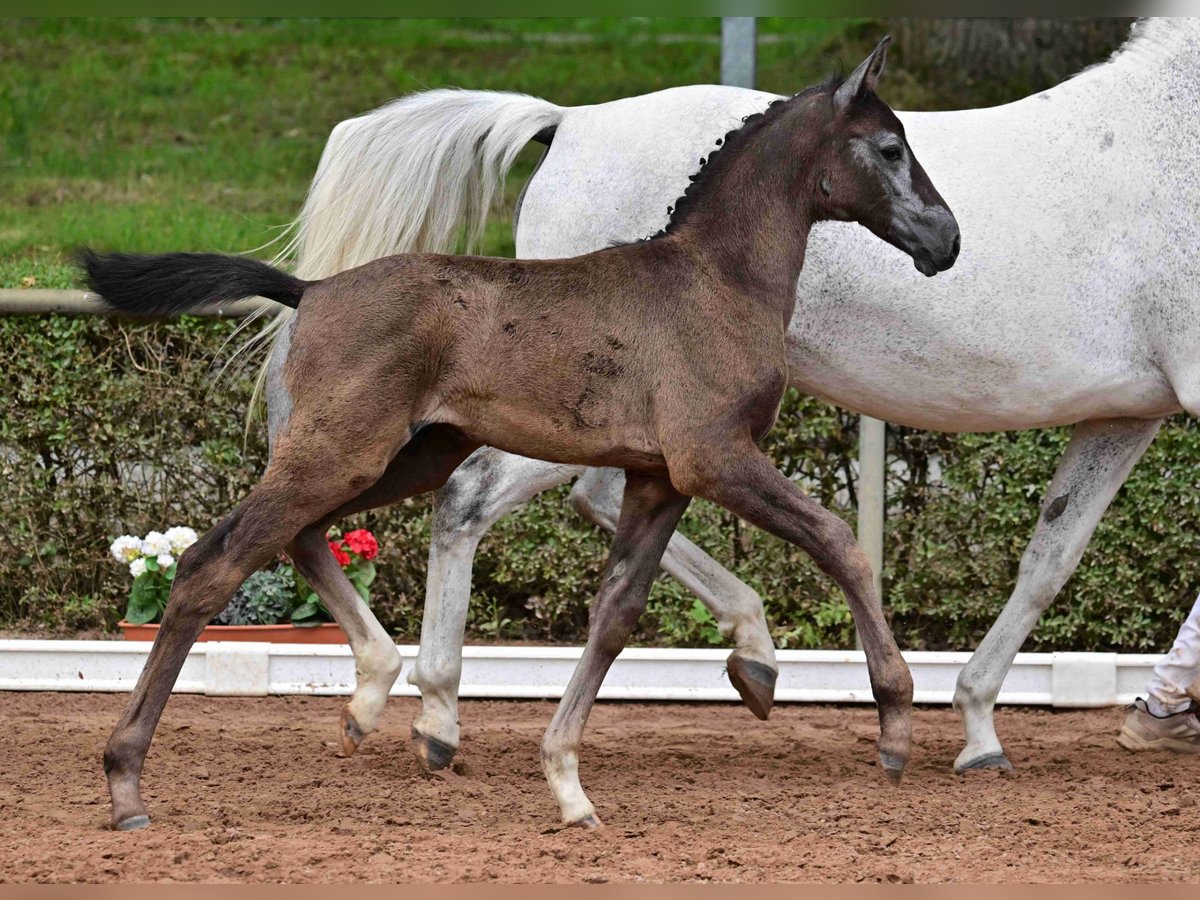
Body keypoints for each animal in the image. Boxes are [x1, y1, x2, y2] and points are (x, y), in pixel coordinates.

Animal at [82, 42, 955, 830]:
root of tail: (313, 288)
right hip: (340, 453)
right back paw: (126, 783)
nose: (946, 238)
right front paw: (895, 723)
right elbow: (840, 542)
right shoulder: (717, 458)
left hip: (403, 456)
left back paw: (370, 698)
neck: (715, 281)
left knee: (286, 539)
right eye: (890, 147)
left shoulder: (660, 477)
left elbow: (616, 614)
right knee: (210, 566)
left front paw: (568, 785)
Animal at [262, 17, 1200, 777]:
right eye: (890, 149)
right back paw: (435, 712)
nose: (948, 239)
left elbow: (1050, 560)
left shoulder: (1130, 411)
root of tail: (569, 120)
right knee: (472, 497)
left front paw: (988, 726)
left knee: (563, 498)